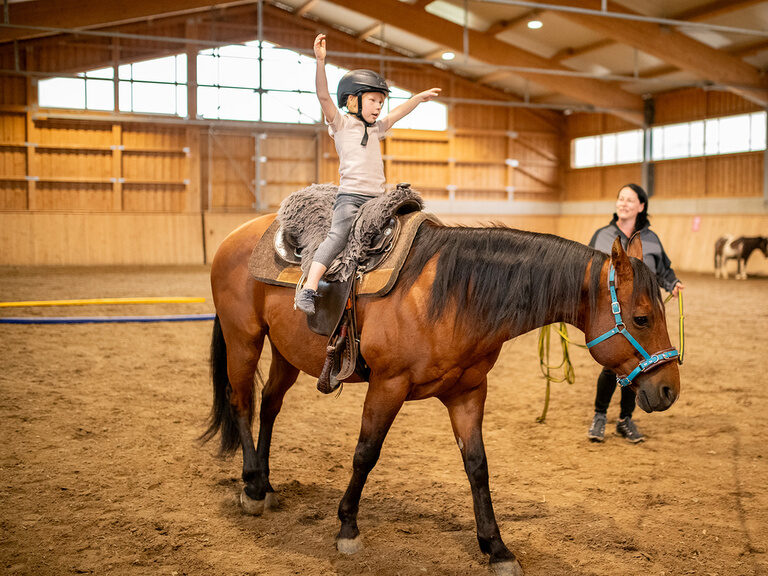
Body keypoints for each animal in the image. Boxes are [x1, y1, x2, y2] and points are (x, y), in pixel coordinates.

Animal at [204, 213, 681, 576]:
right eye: (641, 318)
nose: (668, 389)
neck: (452, 298)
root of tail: (235, 235)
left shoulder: (468, 393)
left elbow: (478, 467)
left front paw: (497, 548)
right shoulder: (387, 385)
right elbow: (365, 453)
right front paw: (347, 528)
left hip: (287, 353)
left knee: (270, 405)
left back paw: (265, 484)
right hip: (244, 340)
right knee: (243, 403)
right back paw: (251, 487)